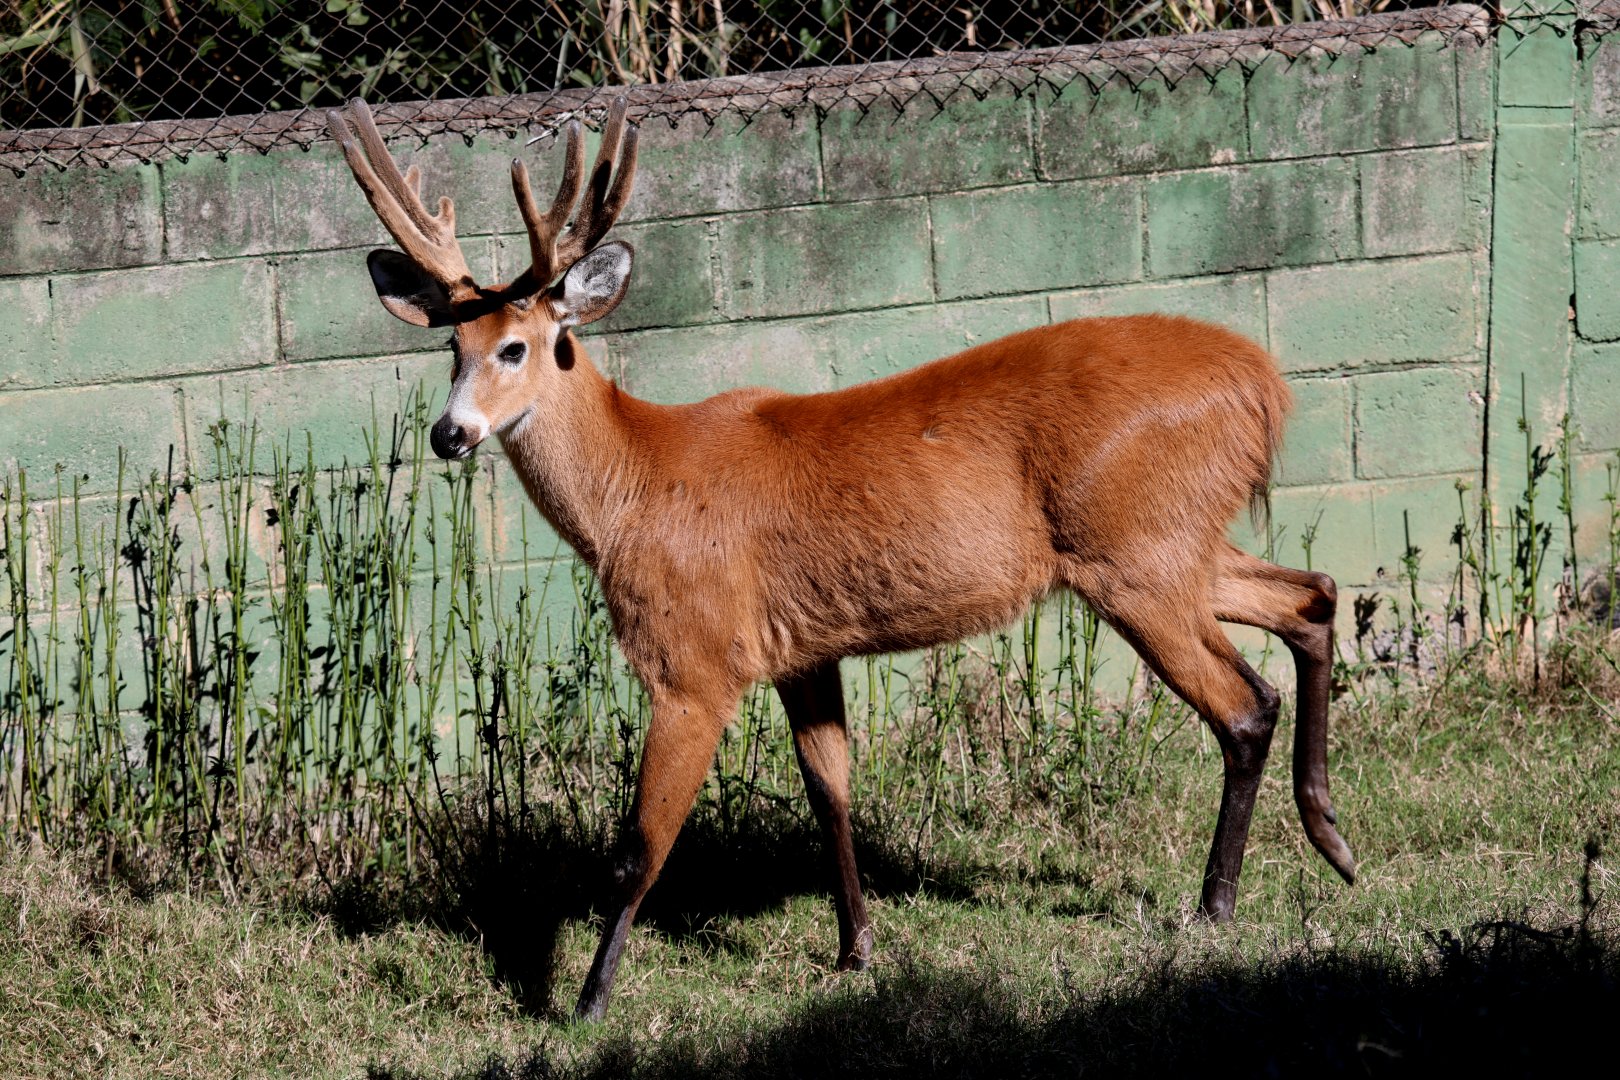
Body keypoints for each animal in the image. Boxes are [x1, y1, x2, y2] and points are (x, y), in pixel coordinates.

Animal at [325, 96, 1356, 1021]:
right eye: (450, 348)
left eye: (519, 346)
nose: (449, 433)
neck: (637, 487)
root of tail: (1264, 386)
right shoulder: (802, 649)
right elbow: (830, 791)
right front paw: (857, 950)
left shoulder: (694, 659)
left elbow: (639, 847)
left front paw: (581, 1004)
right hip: (1174, 542)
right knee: (1313, 594)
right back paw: (1332, 840)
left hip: (1133, 554)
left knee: (1244, 704)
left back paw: (1216, 908)